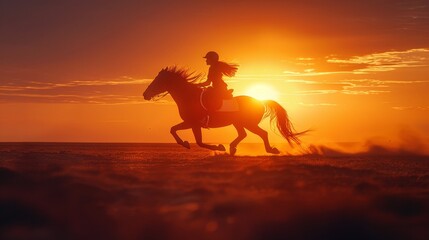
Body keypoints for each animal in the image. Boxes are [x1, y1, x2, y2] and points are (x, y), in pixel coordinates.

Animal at [142, 66, 302, 155]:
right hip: (238, 123)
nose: (145, 94)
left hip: (249, 124)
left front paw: (218, 147)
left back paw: (270, 150)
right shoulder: (190, 123)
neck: (188, 96)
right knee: (243, 134)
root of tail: (259, 100)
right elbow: (173, 130)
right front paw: (185, 143)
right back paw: (232, 148)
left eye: (158, 81)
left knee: (262, 133)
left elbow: (198, 142)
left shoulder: (193, 123)